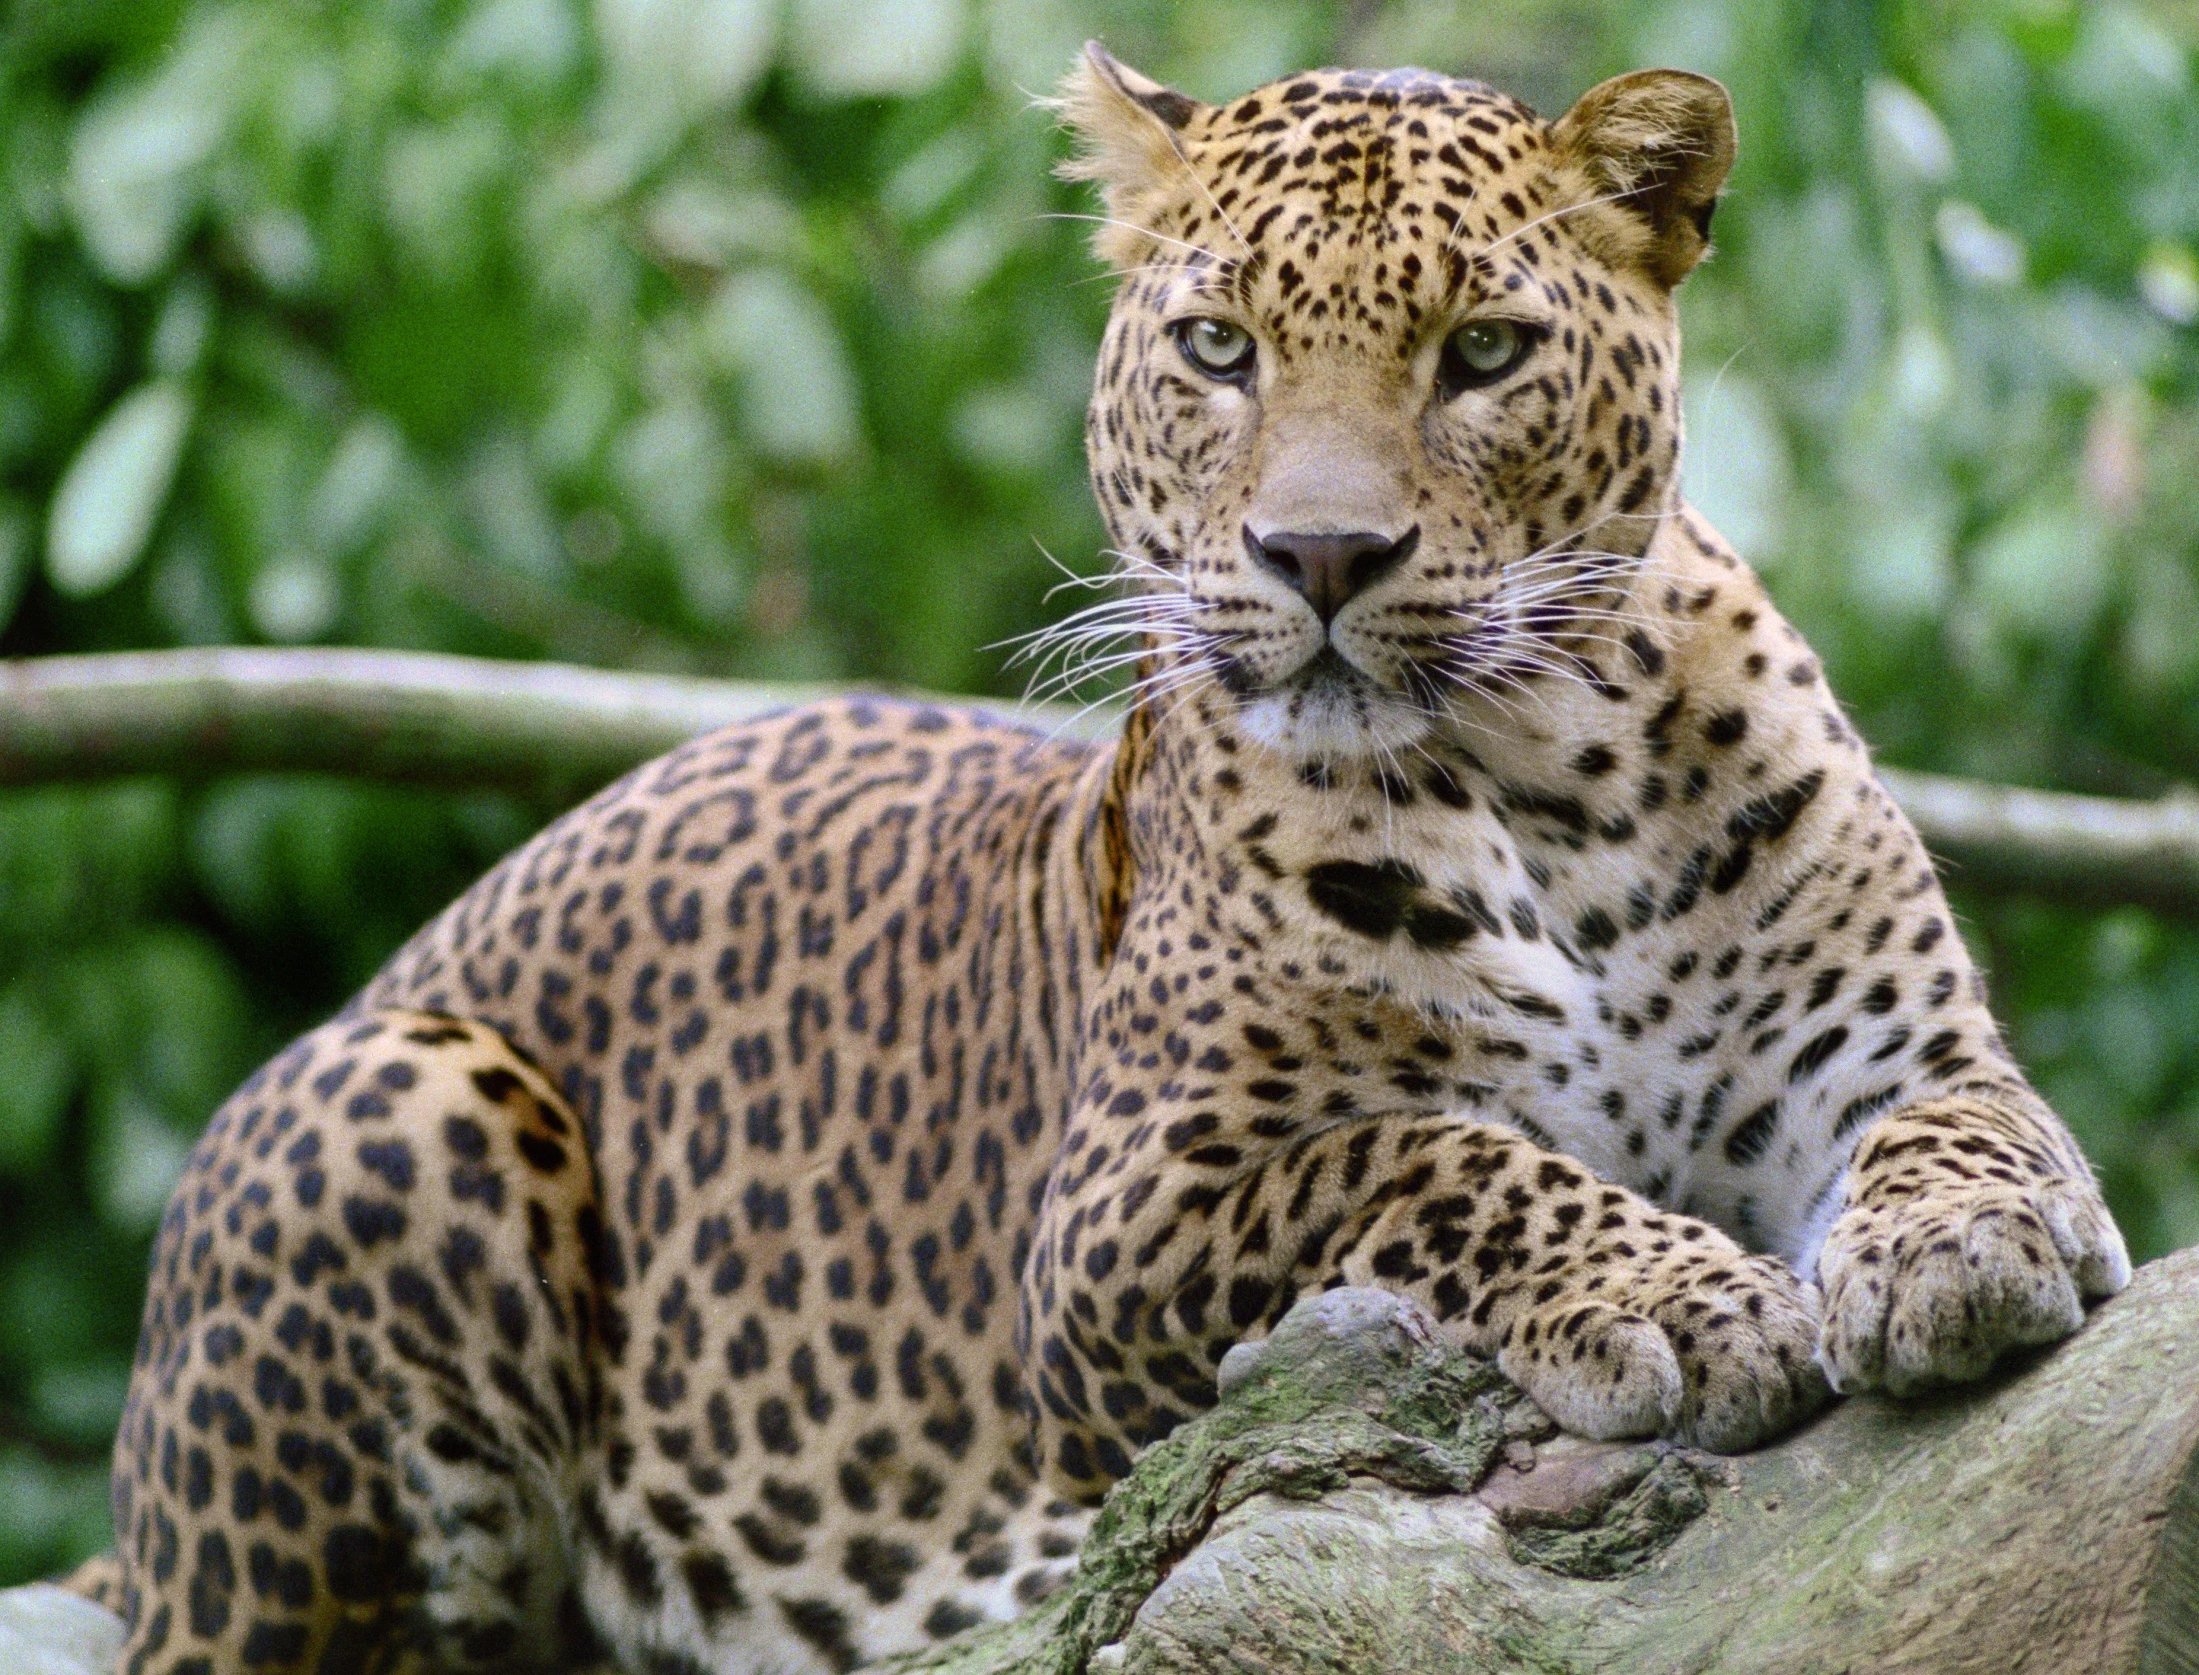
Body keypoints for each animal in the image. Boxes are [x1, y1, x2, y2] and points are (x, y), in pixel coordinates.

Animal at [90, 39, 2128, 1670]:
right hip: (398, 1101)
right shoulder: (1120, 1217)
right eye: (1218, 349)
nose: (1320, 558)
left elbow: (1966, 1122)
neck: (1560, 786)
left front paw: (1959, 1243)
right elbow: (1431, 1156)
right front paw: (1674, 1296)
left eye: (1480, 352)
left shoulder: (1891, 1047)